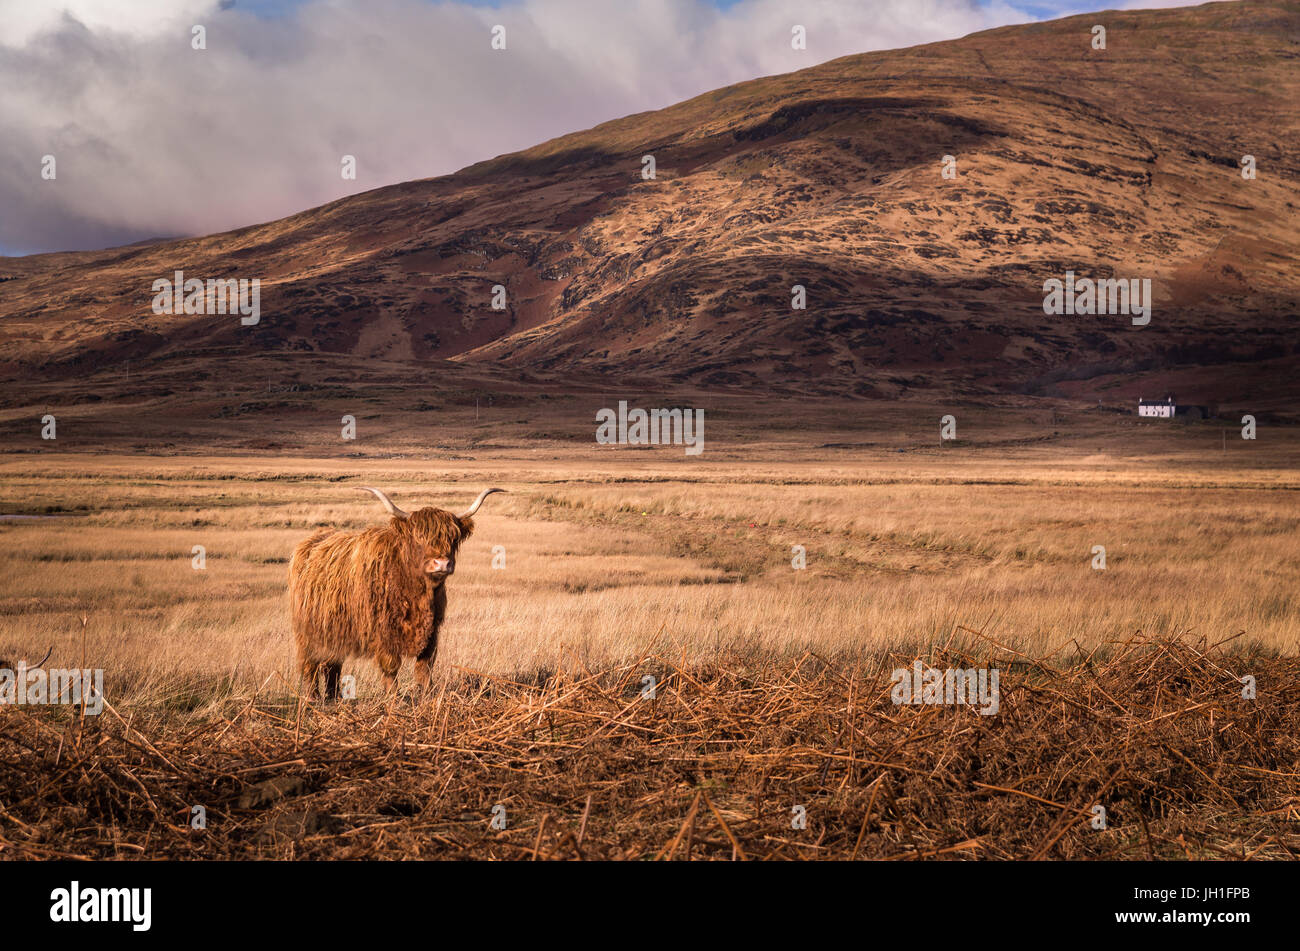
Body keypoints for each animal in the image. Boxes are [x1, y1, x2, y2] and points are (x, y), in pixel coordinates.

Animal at [289, 485, 505, 701]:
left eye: (453, 538)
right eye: (419, 537)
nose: (442, 563)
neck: (417, 593)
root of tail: (311, 541)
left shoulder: (433, 631)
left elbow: (425, 665)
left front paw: (426, 695)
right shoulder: (383, 631)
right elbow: (391, 665)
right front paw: (393, 698)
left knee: (332, 664)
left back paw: (334, 697)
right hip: (307, 633)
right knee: (310, 664)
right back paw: (312, 697)